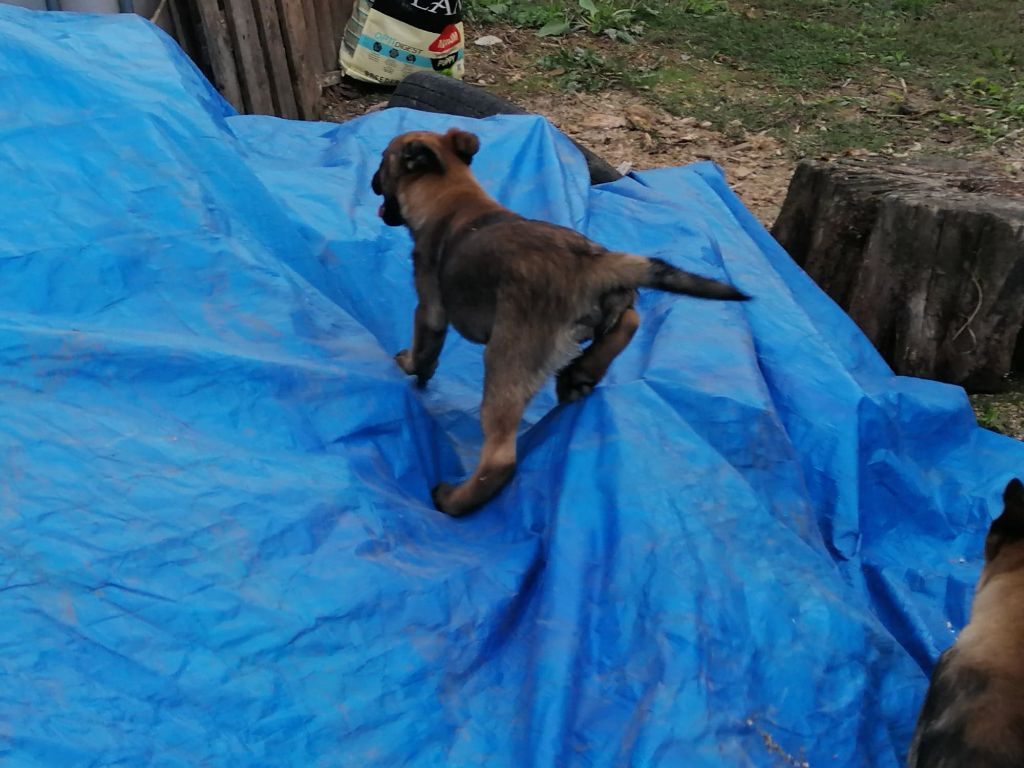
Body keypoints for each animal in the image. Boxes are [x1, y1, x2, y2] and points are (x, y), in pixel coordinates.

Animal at [372, 129, 749, 518]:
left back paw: (454, 500)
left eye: (382, 163)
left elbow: (424, 347)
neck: (453, 192)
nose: (372, 184)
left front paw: (410, 365)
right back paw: (582, 373)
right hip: (606, 308)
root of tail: (589, 266)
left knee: (500, 456)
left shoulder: (430, 306)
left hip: (508, 358)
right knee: (629, 320)